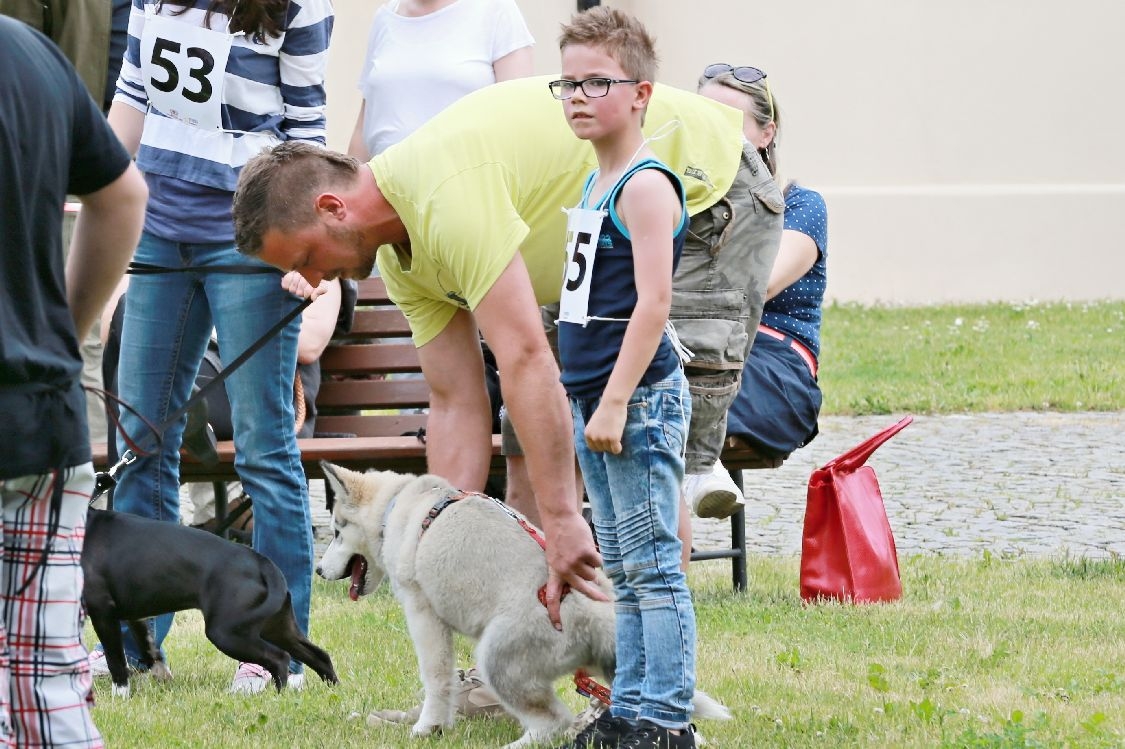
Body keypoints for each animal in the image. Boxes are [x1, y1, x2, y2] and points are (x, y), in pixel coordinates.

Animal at [82, 508, 335, 692]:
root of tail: (263, 564)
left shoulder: (103, 613)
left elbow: (116, 661)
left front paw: (120, 696)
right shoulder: (135, 617)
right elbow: (149, 649)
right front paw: (161, 675)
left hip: (226, 633)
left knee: (279, 658)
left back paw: (279, 695)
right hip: (277, 628)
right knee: (318, 655)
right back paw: (333, 689)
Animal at [317, 461, 729, 746]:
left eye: (336, 532)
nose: (319, 570)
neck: (398, 506)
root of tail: (597, 615)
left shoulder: (423, 614)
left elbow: (436, 678)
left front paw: (427, 727)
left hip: (496, 656)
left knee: (553, 723)